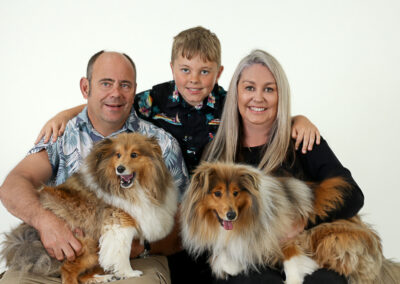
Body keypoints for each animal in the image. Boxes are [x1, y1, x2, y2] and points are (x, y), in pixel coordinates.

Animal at [0, 133, 178, 284]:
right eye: (118, 155)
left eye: (134, 155)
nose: (120, 169)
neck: (133, 188)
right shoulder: (119, 223)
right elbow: (122, 252)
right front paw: (129, 273)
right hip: (84, 244)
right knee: (68, 271)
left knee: (81, 275)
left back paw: (103, 277)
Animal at [181, 162, 400, 284]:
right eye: (217, 193)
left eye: (235, 193)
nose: (231, 215)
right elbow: (226, 257)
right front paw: (231, 266)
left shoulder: (288, 235)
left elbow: (292, 258)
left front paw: (294, 278)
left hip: (332, 239)